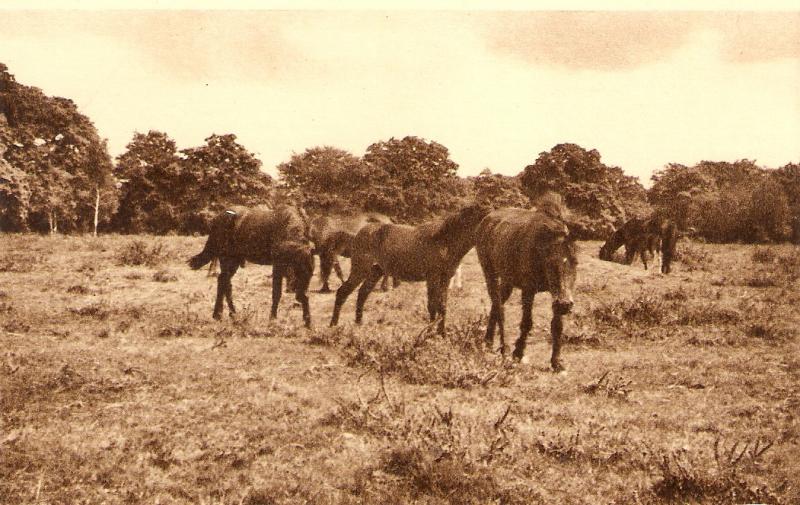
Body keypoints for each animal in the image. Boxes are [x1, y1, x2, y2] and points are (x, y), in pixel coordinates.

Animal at [188, 205, 316, 326]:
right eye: (297, 269)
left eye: (309, 273)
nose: (297, 294)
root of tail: (217, 219)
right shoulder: (277, 267)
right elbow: (276, 293)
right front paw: (272, 319)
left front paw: (308, 322)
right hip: (227, 259)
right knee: (224, 283)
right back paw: (225, 314)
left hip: (234, 261)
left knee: (224, 282)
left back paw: (225, 315)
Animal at [328, 201, 490, 334]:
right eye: (486, 221)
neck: (444, 241)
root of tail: (358, 234)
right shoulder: (432, 278)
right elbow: (432, 306)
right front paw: (429, 334)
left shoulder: (445, 279)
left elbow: (442, 306)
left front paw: (442, 334)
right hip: (360, 270)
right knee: (343, 292)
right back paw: (333, 325)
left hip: (375, 272)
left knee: (362, 293)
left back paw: (359, 325)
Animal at [472, 196, 580, 370]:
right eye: (550, 263)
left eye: (575, 262)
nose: (565, 304)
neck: (541, 247)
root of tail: (486, 219)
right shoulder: (528, 290)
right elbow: (526, 323)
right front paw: (517, 353)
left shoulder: (556, 296)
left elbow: (557, 326)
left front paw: (556, 362)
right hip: (490, 274)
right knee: (499, 307)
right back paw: (501, 347)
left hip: (507, 281)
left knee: (496, 304)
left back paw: (489, 342)